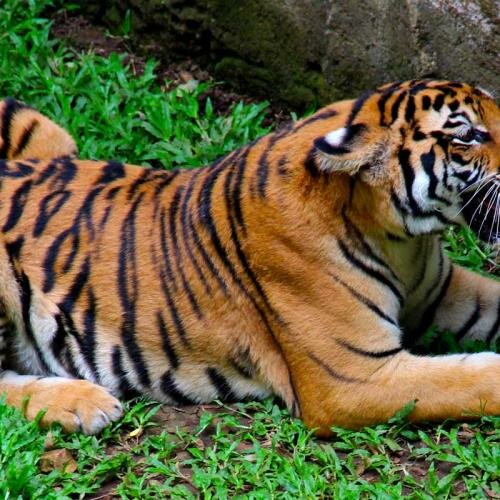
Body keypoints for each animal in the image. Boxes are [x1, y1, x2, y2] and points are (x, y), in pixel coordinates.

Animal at [0, 80, 498, 438]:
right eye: (469, 135)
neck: (401, 239)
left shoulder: (440, 292)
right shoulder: (354, 378)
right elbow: (472, 377)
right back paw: (85, 403)